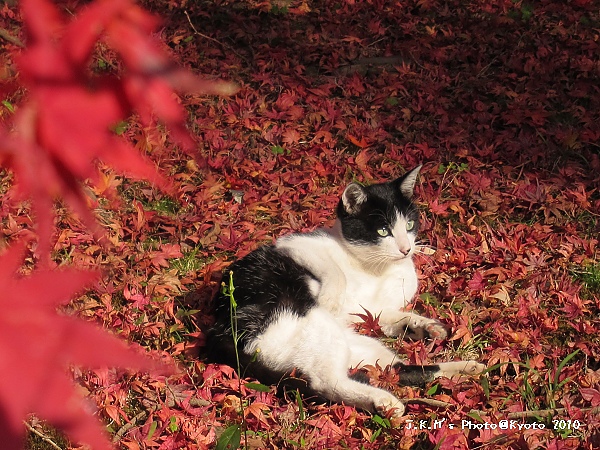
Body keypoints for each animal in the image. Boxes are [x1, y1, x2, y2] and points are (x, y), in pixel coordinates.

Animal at [204, 167, 486, 416]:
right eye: (383, 230)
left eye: (409, 225)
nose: (406, 249)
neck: (376, 270)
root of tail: (220, 328)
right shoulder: (295, 244)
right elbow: (334, 273)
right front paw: (331, 298)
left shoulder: (369, 312)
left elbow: (392, 316)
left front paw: (426, 326)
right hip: (312, 324)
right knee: (326, 382)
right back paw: (383, 401)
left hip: (356, 343)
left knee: (398, 369)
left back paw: (467, 368)